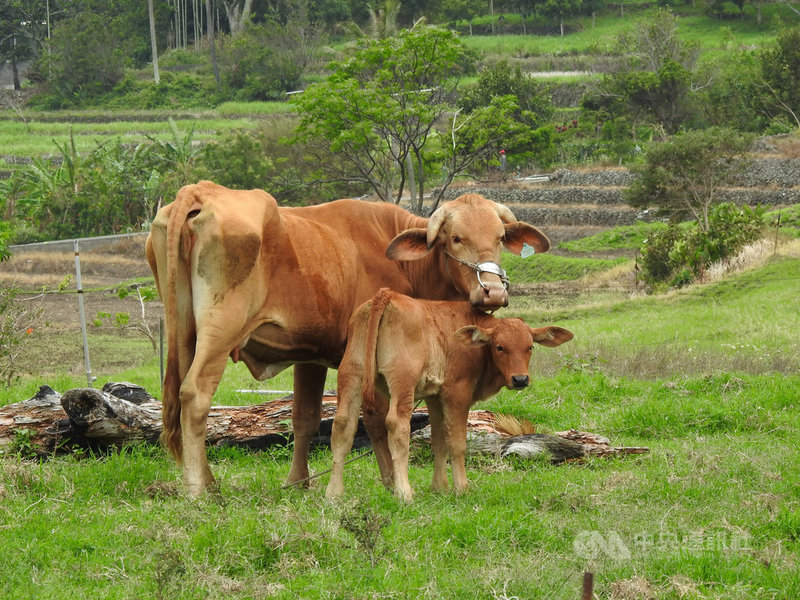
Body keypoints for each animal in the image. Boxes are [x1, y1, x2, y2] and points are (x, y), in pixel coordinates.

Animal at [145, 180, 552, 494]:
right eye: (455, 238)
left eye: (499, 238)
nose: (492, 292)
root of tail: (200, 191)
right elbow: (373, 418)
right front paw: (390, 481)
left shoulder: (310, 354)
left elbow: (305, 418)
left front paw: (297, 482)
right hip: (219, 333)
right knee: (194, 396)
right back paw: (200, 489)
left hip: (185, 334)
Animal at [326, 288, 576, 500]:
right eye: (499, 347)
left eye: (530, 347)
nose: (520, 379)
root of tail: (387, 295)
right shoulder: (458, 393)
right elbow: (456, 443)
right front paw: (461, 487)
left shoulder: (435, 397)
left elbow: (439, 440)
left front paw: (440, 487)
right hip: (402, 381)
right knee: (397, 426)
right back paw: (404, 492)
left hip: (351, 374)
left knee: (343, 425)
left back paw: (334, 493)